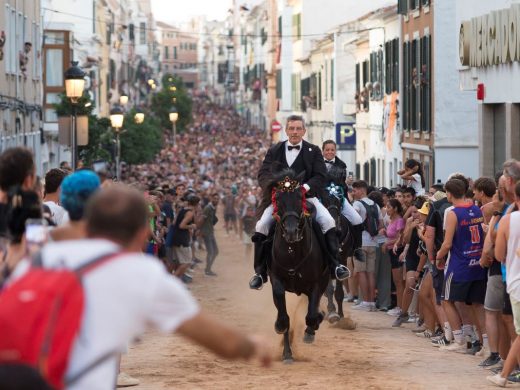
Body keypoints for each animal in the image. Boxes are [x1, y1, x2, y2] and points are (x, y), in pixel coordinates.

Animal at [268, 170, 330, 362]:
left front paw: (313, 326)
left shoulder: (318, 283)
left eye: (299, 198)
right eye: (278, 199)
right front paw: (281, 331)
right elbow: (284, 316)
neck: (292, 251)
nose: (291, 232)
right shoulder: (276, 280)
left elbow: (311, 315)